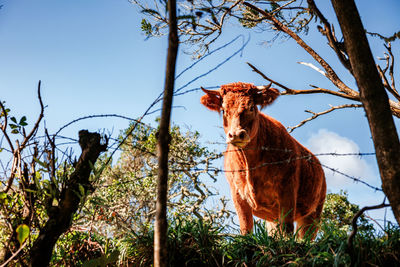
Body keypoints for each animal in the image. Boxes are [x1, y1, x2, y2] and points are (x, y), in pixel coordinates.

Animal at [202, 82, 326, 239]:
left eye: (251, 107)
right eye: (223, 110)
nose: (235, 134)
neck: (250, 164)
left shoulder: (287, 192)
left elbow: (287, 230)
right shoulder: (237, 195)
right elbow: (246, 228)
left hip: (313, 214)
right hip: (272, 220)